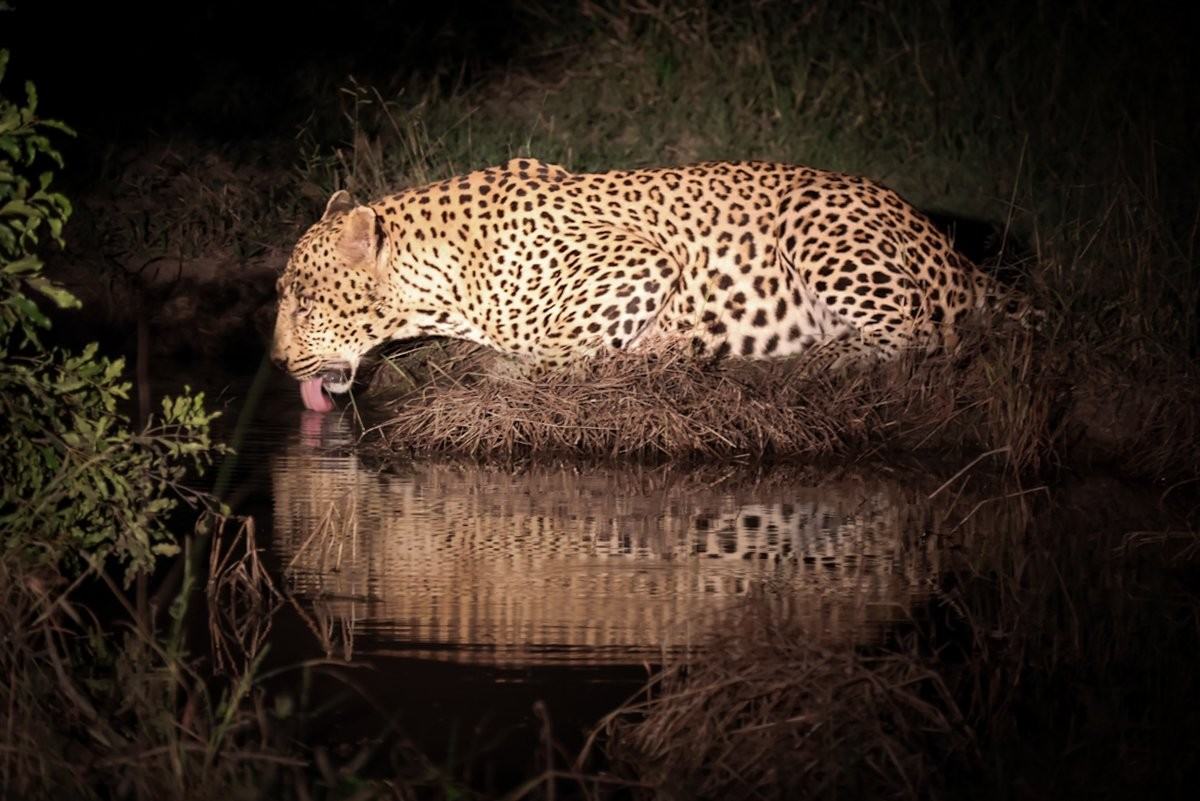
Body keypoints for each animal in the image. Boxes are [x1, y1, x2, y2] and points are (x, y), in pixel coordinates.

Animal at [271, 158, 1030, 411]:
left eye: (303, 302)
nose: (276, 362)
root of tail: (954, 252)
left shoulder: (639, 260)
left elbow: (556, 346)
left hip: (819, 226)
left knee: (923, 333)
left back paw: (805, 359)